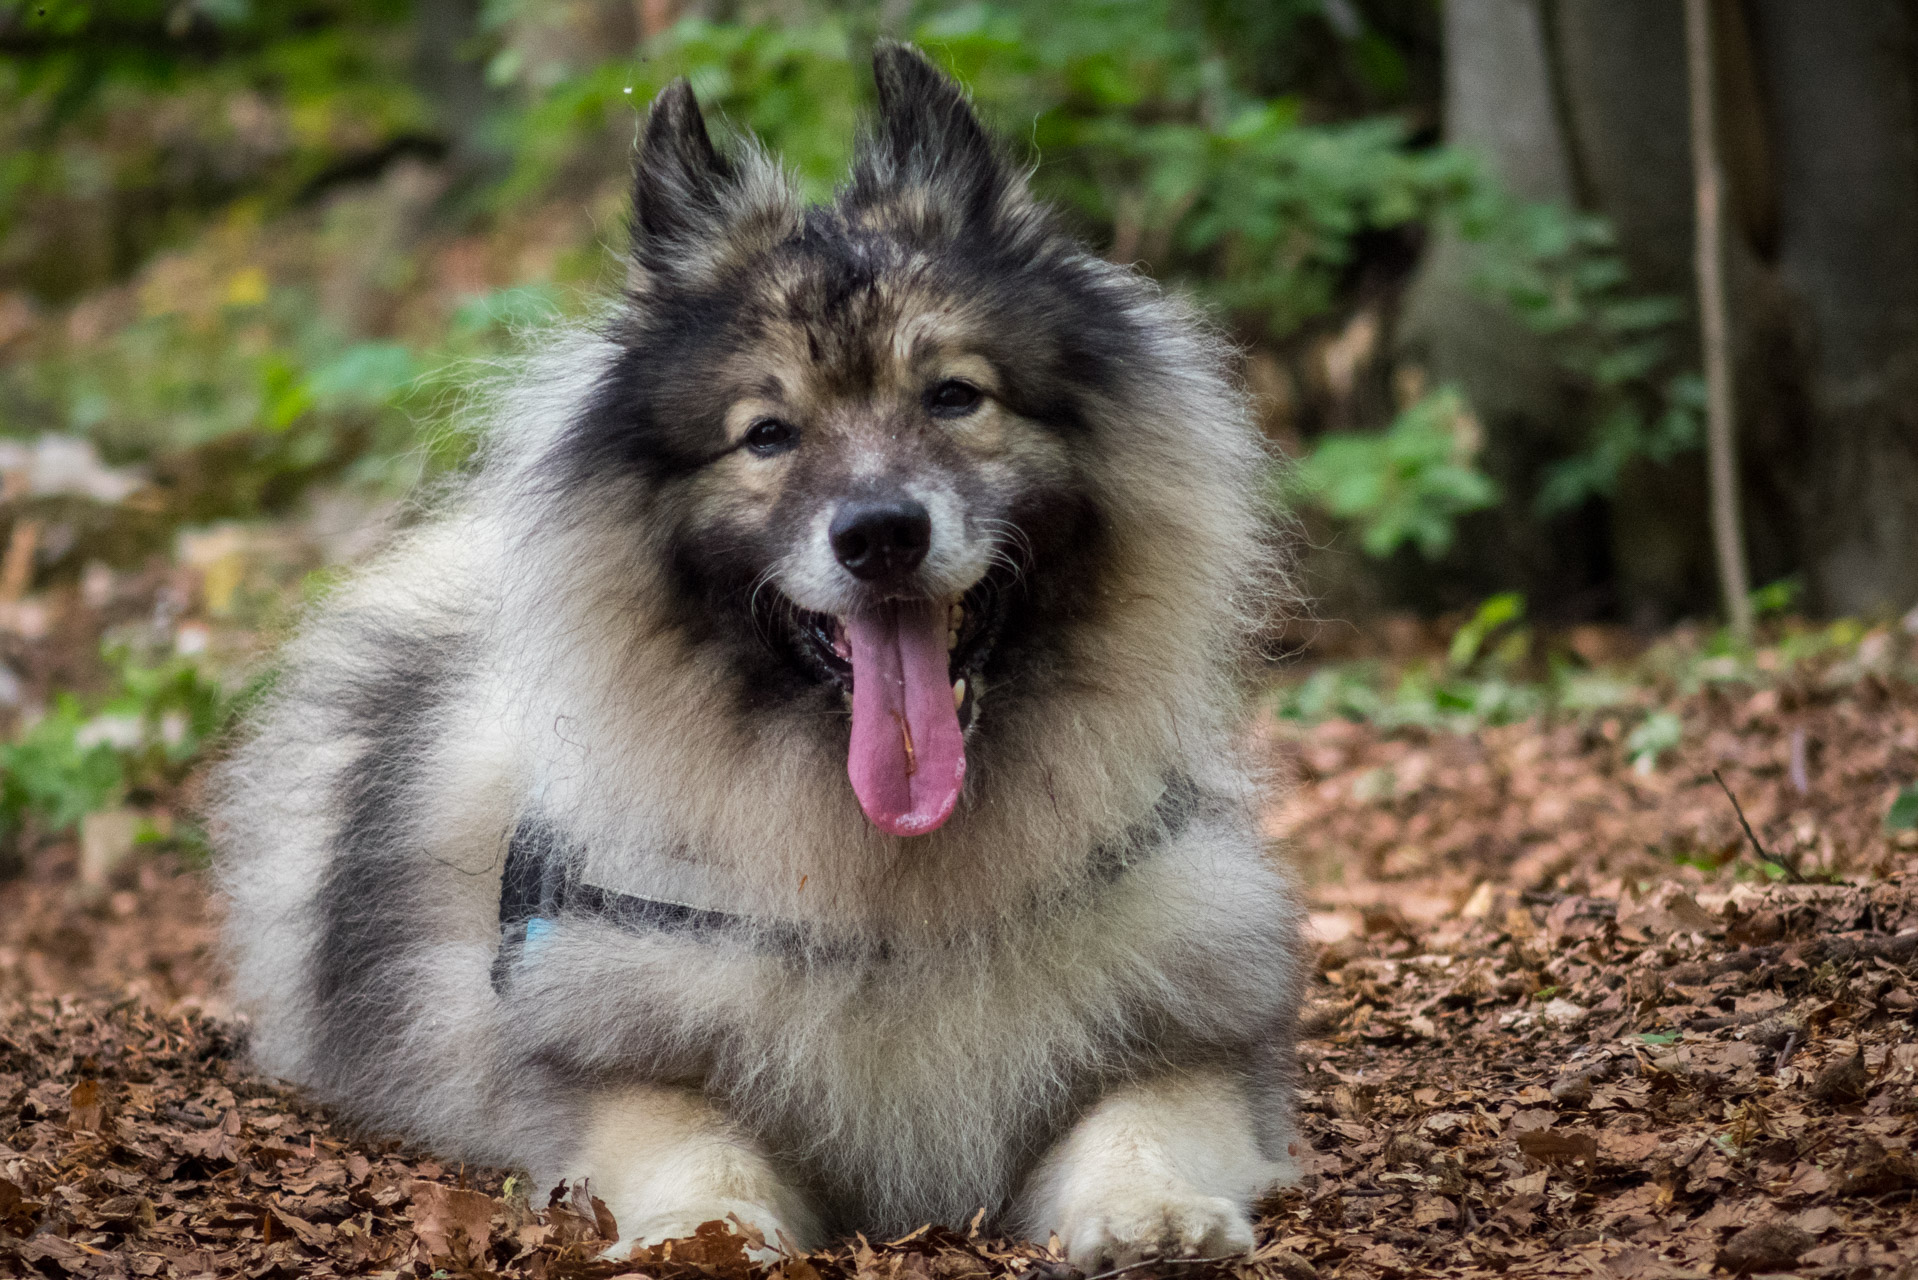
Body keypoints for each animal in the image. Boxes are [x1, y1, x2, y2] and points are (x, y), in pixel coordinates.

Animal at [217, 42, 1311, 1274]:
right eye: (768, 435)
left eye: (954, 396)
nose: (880, 533)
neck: (896, 899)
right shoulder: (620, 1060)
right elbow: (698, 1146)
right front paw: (707, 1230)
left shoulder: (1185, 1031)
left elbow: (1140, 1118)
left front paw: (1153, 1214)